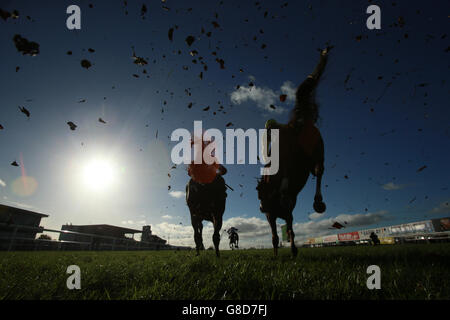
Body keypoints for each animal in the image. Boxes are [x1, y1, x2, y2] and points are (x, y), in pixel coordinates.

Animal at [256, 47, 330, 258]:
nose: (261, 206)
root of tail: (295, 124)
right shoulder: (272, 215)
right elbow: (277, 235)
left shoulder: (282, 213)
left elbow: (288, 230)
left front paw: (293, 251)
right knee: (316, 169)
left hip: (313, 148)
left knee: (317, 171)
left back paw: (317, 201)